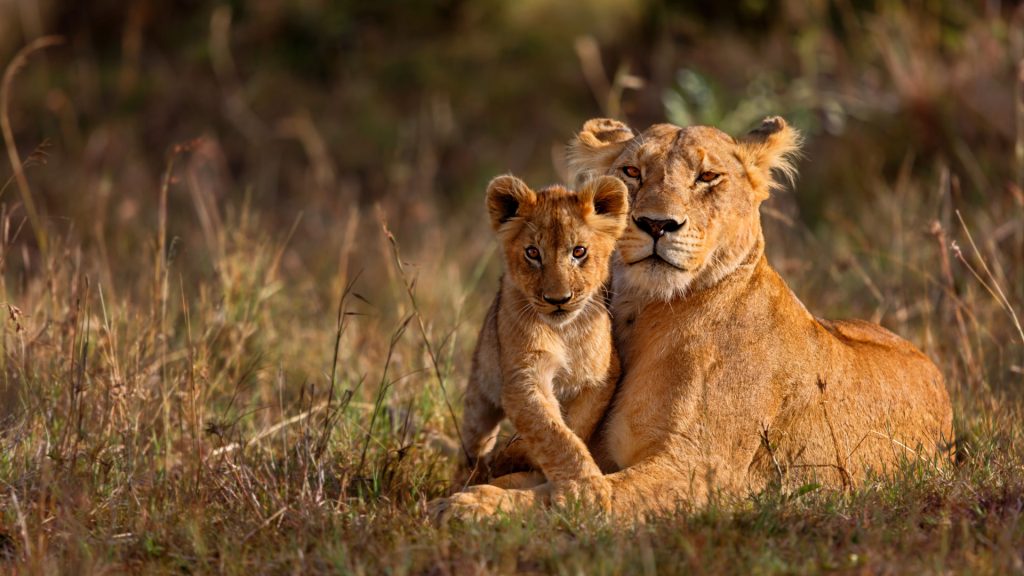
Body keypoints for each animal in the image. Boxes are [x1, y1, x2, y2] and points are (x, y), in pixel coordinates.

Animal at [454, 173, 629, 506]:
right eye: (533, 253)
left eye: (579, 252)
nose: (558, 299)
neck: (564, 332)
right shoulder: (523, 378)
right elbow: (552, 432)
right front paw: (585, 490)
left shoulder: (601, 376)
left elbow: (574, 426)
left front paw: (523, 456)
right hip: (480, 393)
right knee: (473, 444)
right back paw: (467, 478)